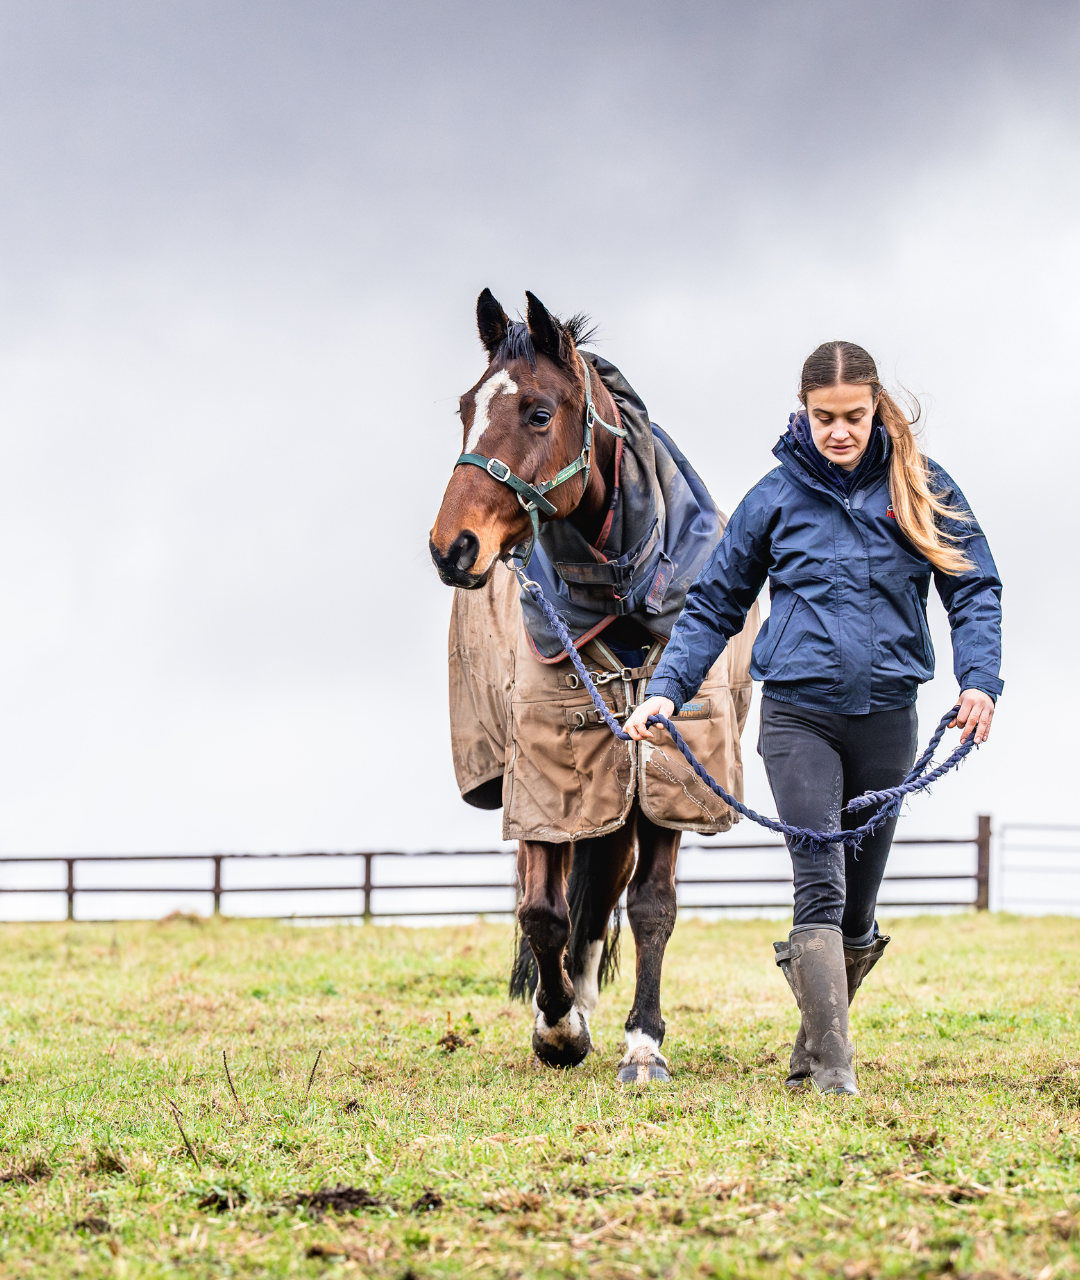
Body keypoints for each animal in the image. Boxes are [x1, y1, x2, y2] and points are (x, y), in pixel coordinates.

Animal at [429, 289, 754, 1084]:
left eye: (539, 413)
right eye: (465, 409)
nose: (453, 548)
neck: (622, 593)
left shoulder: (671, 771)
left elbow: (654, 908)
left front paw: (644, 1043)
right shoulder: (545, 774)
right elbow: (541, 912)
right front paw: (557, 1027)